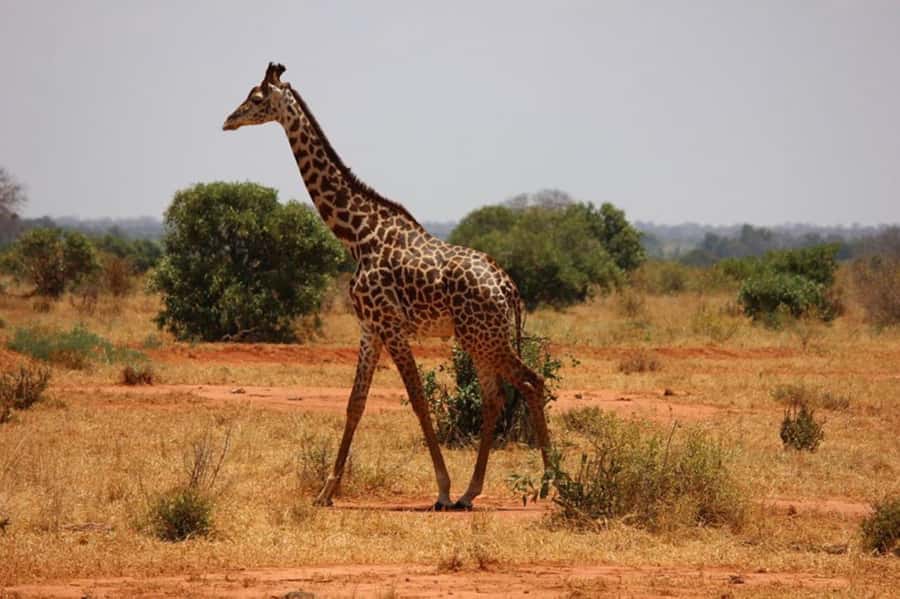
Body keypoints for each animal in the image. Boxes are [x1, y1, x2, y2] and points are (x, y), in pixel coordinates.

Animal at [223, 63, 550, 510]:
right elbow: (354, 403)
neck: (356, 234)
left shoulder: (391, 326)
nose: (228, 121)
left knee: (532, 383)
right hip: (478, 337)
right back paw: (471, 492)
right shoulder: (370, 328)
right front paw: (326, 492)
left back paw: (550, 483)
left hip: (486, 338)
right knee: (494, 398)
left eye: (255, 98)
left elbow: (418, 400)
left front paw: (441, 489)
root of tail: (508, 286)